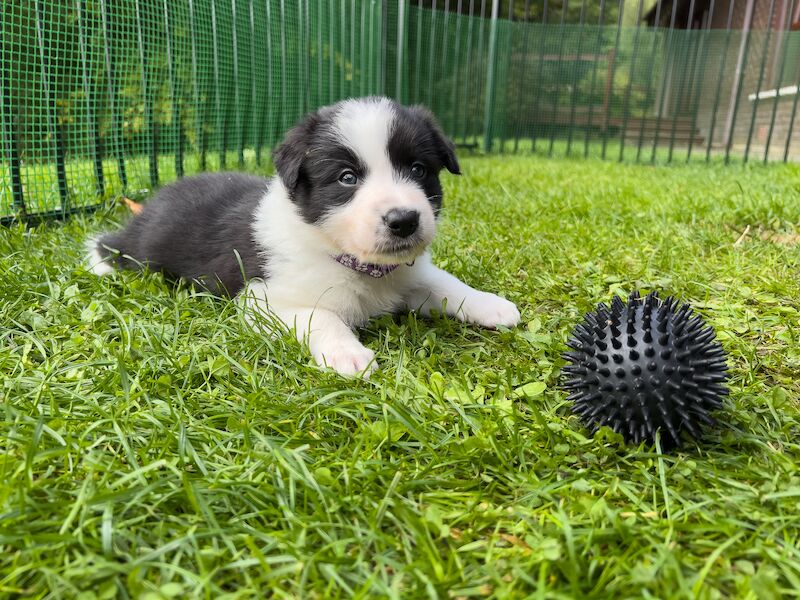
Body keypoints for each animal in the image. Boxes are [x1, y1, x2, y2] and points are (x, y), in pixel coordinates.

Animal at [87, 97, 520, 376]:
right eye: (347, 178)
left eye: (418, 169)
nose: (404, 221)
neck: (354, 262)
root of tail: (156, 199)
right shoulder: (262, 299)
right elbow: (321, 315)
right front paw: (348, 355)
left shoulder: (408, 274)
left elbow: (444, 282)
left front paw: (492, 305)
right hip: (146, 248)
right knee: (113, 247)